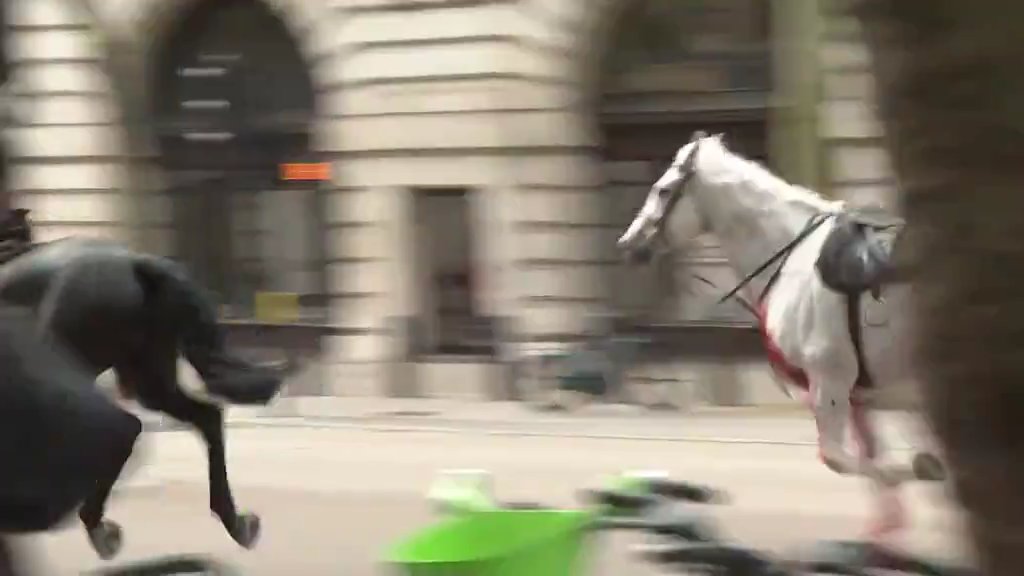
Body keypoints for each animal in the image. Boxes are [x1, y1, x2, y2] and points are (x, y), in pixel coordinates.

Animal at [0, 230, 292, 557]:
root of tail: (138, 264)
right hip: (147, 378)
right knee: (204, 418)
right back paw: (236, 523)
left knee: (124, 428)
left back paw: (98, 528)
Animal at [614, 130, 942, 537]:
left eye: (663, 190)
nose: (628, 245)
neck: (795, 261)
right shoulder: (862, 396)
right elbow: (870, 456)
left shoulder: (830, 385)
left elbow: (839, 458)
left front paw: (919, 471)